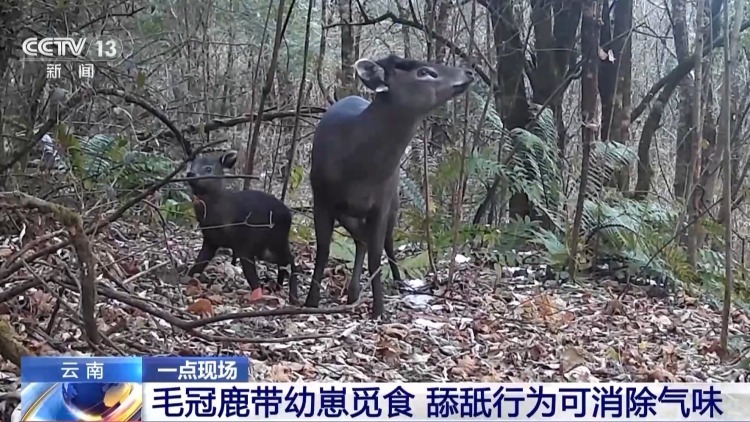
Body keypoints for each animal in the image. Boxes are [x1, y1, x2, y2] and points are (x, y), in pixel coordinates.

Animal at [184, 150, 300, 304]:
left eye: (208, 169)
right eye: (192, 165)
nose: (190, 174)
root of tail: (289, 215)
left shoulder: (244, 242)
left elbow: (249, 272)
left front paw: (256, 296)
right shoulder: (210, 240)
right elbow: (200, 261)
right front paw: (186, 277)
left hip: (276, 239)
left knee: (291, 260)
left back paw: (293, 297)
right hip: (267, 248)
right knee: (284, 262)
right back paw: (279, 288)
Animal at [303, 54, 475, 318]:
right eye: (424, 72)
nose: (468, 72)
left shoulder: (381, 201)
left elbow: (376, 252)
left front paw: (379, 309)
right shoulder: (320, 196)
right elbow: (324, 248)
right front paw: (310, 301)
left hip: (393, 199)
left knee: (386, 242)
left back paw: (398, 282)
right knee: (362, 238)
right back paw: (354, 292)